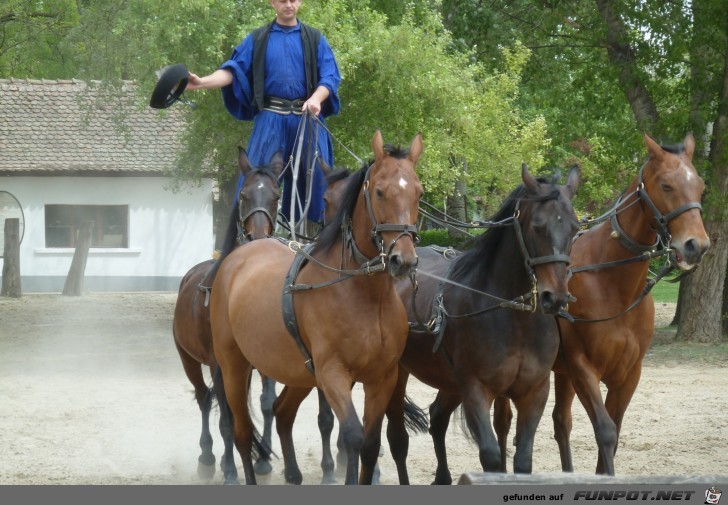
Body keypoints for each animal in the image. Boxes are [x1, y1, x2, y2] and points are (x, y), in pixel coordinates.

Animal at [172, 147, 282, 484]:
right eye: (244, 195)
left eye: (275, 195)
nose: (258, 237)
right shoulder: (221, 363)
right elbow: (226, 417)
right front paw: (232, 471)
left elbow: (266, 404)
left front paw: (263, 461)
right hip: (190, 359)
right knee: (205, 399)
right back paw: (208, 457)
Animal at [210, 130, 424, 484]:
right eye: (379, 192)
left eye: (419, 192)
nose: (402, 259)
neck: (366, 296)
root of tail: (236, 259)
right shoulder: (332, 374)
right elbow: (352, 436)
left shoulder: (382, 377)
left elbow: (370, 444)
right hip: (233, 367)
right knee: (241, 433)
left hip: (297, 374)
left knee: (282, 412)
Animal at [386, 163, 580, 482]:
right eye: (537, 226)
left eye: (575, 229)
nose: (556, 297)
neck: (514, 318)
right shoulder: (475, 389)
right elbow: (490, 455)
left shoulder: (534, 391)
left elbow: (523, 459)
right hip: (398, 374)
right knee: (396, 438)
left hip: (449, 381)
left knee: (437, 418)